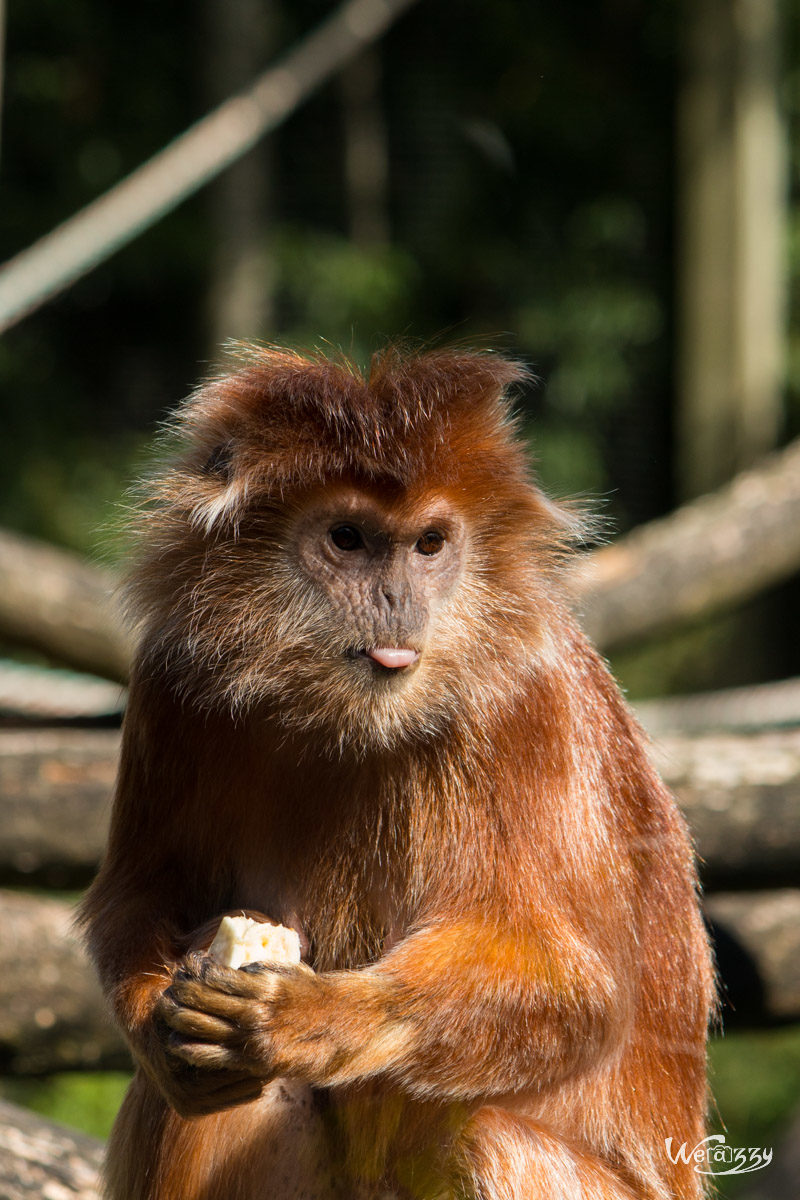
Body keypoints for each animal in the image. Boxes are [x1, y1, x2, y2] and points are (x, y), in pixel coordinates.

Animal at [81, 348, 714, 1200]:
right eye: (348, 539)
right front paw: (162, 1027)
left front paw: (319, 1018)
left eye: (429, 545)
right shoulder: (172, 674)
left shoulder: (527, 694)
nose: (394, 597)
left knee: (490, 1140)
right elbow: (140, 893)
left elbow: (576, 990)